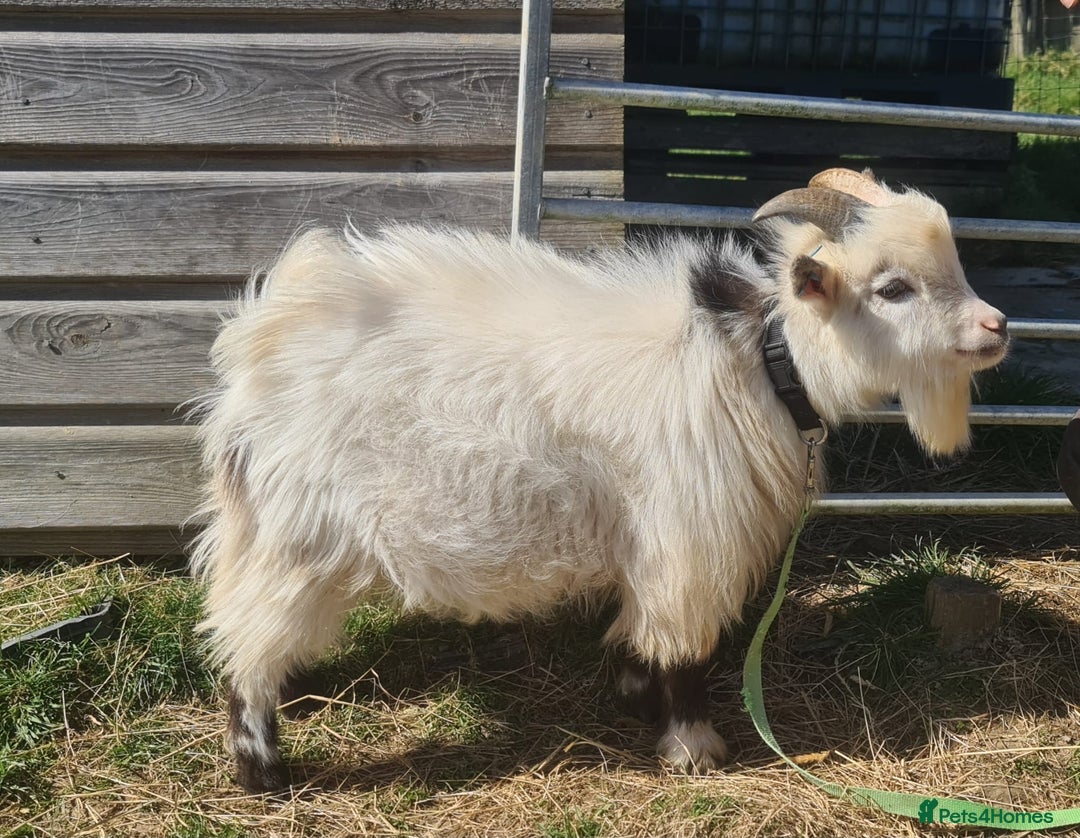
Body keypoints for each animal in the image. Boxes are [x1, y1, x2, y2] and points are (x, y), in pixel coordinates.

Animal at [189, 168, 1008, 793]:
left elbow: (640, 633)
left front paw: (633, 698)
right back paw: (262, 772)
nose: (997, 327)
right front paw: (693, 747)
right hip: (295, 533)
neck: (757, 357)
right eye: (893, 288)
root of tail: (261, 343)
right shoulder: (687, 538)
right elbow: (684, 645)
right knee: (246, 641)